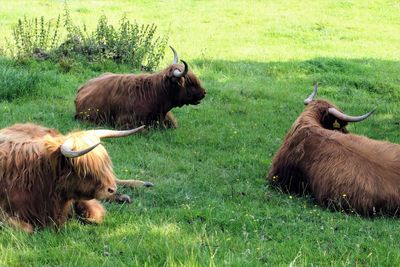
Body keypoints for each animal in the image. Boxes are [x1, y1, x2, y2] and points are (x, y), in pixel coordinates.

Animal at [0, 123, 152, 232]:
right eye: (86, 170)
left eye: (105, 164)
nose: (111, 189)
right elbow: (27, 229)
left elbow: (95, 215)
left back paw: (140, 185)